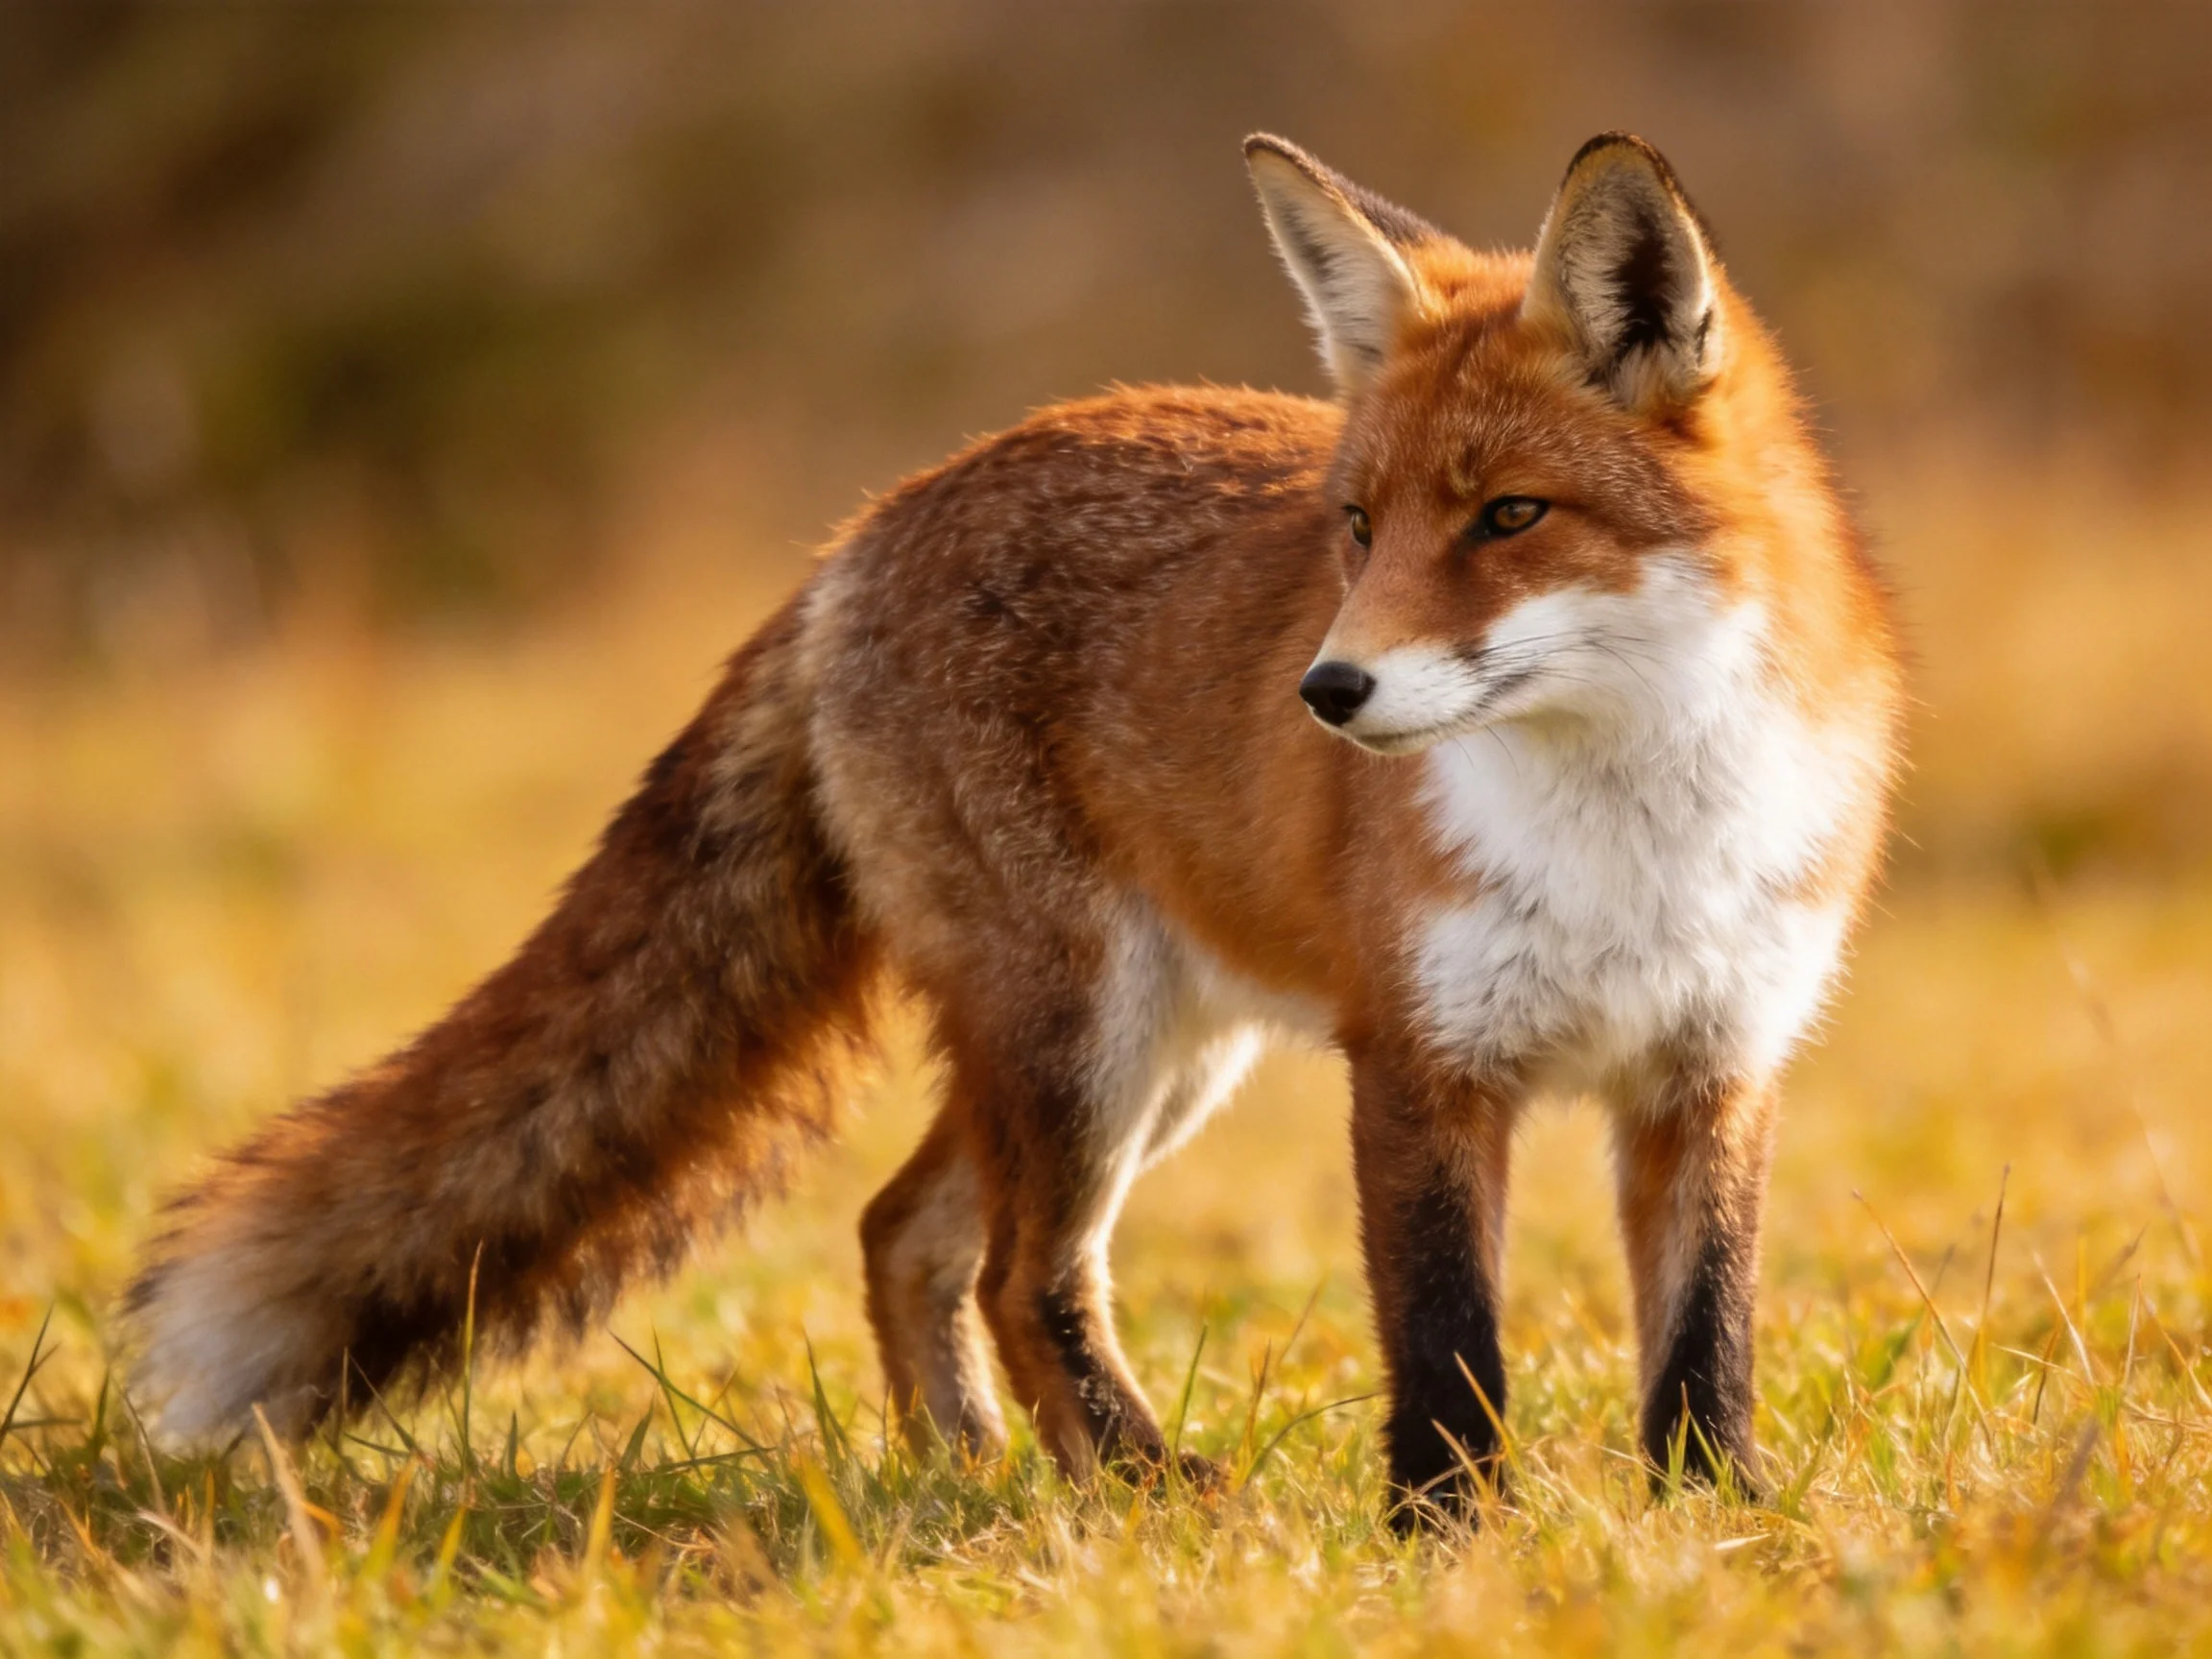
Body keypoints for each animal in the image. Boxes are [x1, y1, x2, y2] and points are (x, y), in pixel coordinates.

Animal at [125, 131, 1902, 1523]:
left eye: (1509, 517)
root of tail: (863, 529)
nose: (1326, 692)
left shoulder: (1711, 1066)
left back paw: (971, 1475)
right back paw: (1138, 1482)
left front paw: (1721, 1521)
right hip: (1084, 1038)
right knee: (1013, 1268)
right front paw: (1447, 1537)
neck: (1631, 834)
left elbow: (1706, 1337)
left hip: (1154, 1058)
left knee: (903, 1230)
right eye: (1356, 525)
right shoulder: (1417, 1062)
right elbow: (1448, 1339)